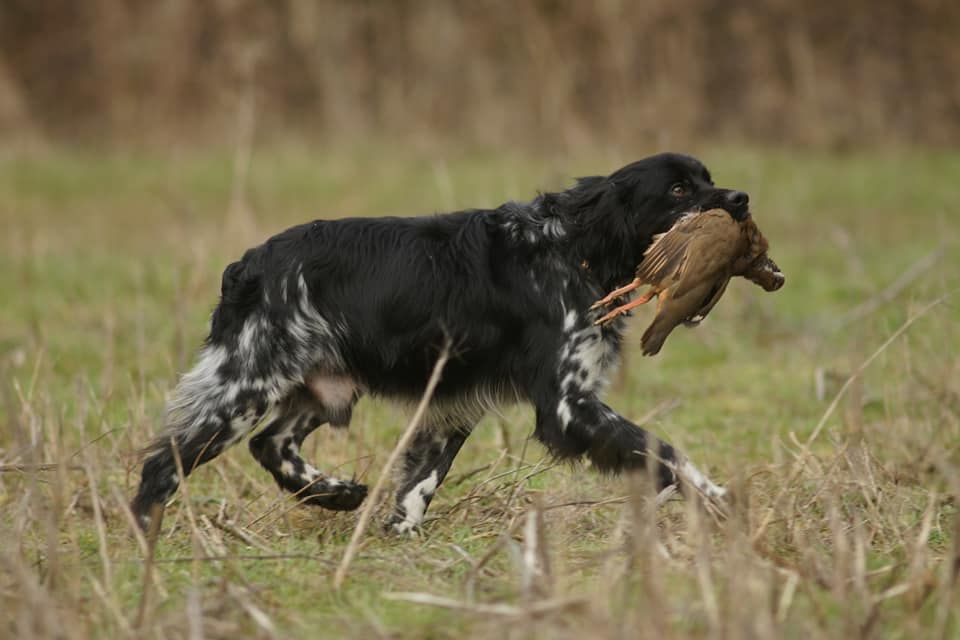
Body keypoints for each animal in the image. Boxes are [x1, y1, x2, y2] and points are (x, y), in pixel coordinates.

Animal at [129, 152, 744, 532]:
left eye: (707, 177)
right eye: (679, 189)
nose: (740, 199)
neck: (573, 247)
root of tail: (249, 263)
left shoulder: (452, 405)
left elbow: (418, 485)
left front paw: (398, 533)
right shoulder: (569, 408)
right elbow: (666, 451)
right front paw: (718, 501)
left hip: (322, 389)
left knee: (271, 445)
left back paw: (335, 492)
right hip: (244, 387)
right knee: (164, 465)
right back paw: (144, 537)